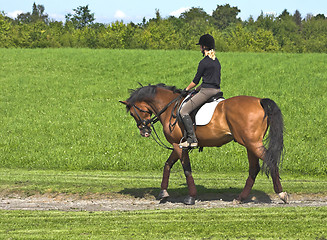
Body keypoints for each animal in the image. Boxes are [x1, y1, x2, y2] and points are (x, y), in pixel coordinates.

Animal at [120, 83, 290, 205]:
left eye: (133, 113)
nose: (145, 132)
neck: (169, 107)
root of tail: (259, 101)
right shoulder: (178, 145)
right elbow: (167, 165)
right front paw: (163, 193)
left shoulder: (177, 145)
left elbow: (186, 169)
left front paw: (190, 197)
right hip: (250, 144)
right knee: (254, 169)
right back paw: (240, 198)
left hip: (252, 143)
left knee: (270, 161)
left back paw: (282, 194)